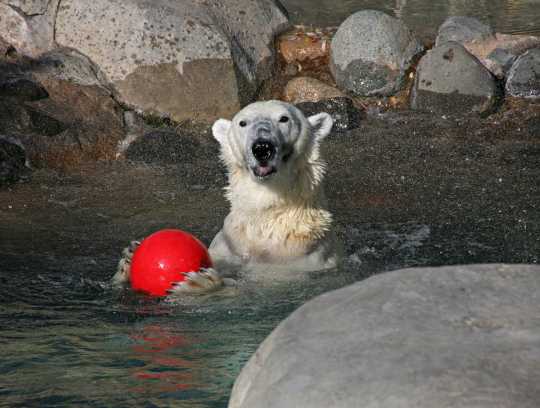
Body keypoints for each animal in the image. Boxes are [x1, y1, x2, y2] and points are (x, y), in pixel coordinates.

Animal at [115, 100, 338, 294]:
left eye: (284, 118)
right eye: (243, 122)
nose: (262, 147)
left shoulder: (296, 257)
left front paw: (202, 282)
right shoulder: (231, 244)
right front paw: (130, 256)